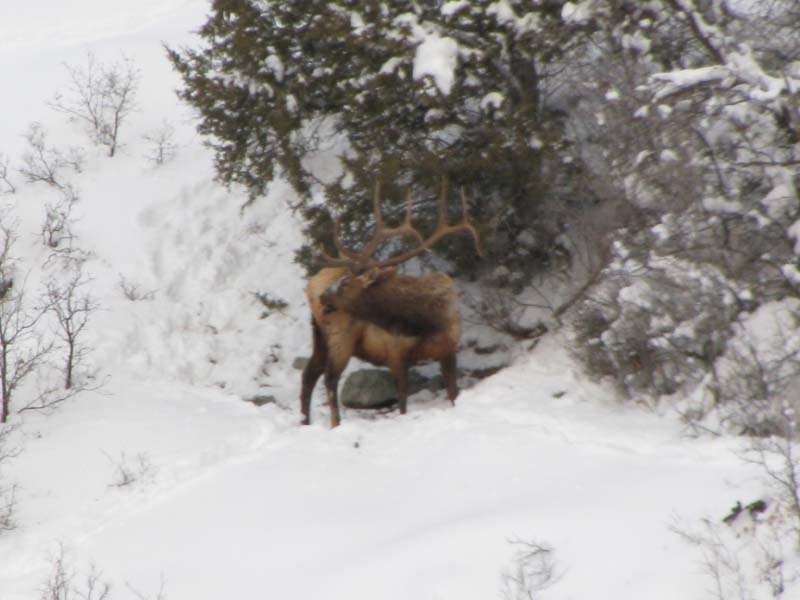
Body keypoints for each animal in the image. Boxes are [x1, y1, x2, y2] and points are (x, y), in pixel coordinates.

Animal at [300, 178, 482, 426]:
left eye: (346, 284)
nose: (323, 297)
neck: (426, 323)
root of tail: (310, 286)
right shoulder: (396, 353)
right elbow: (403, 400)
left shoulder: (449, 349)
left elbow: (452, 393)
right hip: (340, 337)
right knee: (329, 379)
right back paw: (334, 424)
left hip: (319, 337)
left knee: (309, 375)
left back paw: (305, 422)